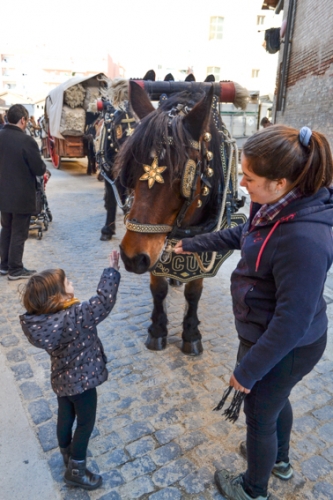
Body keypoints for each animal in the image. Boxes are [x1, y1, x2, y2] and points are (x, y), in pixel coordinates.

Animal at [113, 81, 245, 356]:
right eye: (130, 168)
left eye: (181, 176)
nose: (132, 257)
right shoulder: (154, 247)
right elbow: (158, 288)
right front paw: (157, 330)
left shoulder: (205, 243)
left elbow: (194, 291)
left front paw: (191, 334)